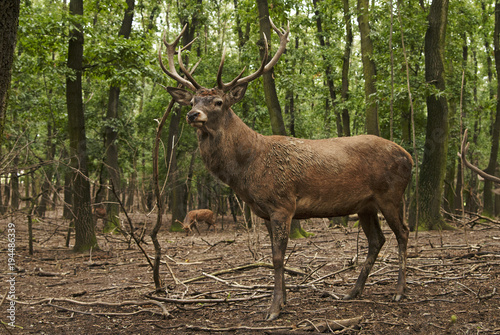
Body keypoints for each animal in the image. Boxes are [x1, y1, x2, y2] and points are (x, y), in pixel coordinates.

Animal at [160, 19, 414, 322]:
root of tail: (410, 157)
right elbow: (274, 257)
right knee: (377, 240)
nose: (192, 115)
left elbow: (277, 257)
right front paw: (282, 302)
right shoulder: (264, 212)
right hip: (366, 204)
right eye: (192, 101)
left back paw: (399, 291)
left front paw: (273, 309)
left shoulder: (282, 204)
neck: (246, 170)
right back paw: (352, 291)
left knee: (403, 233)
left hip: (391, 194)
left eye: (218, 102)